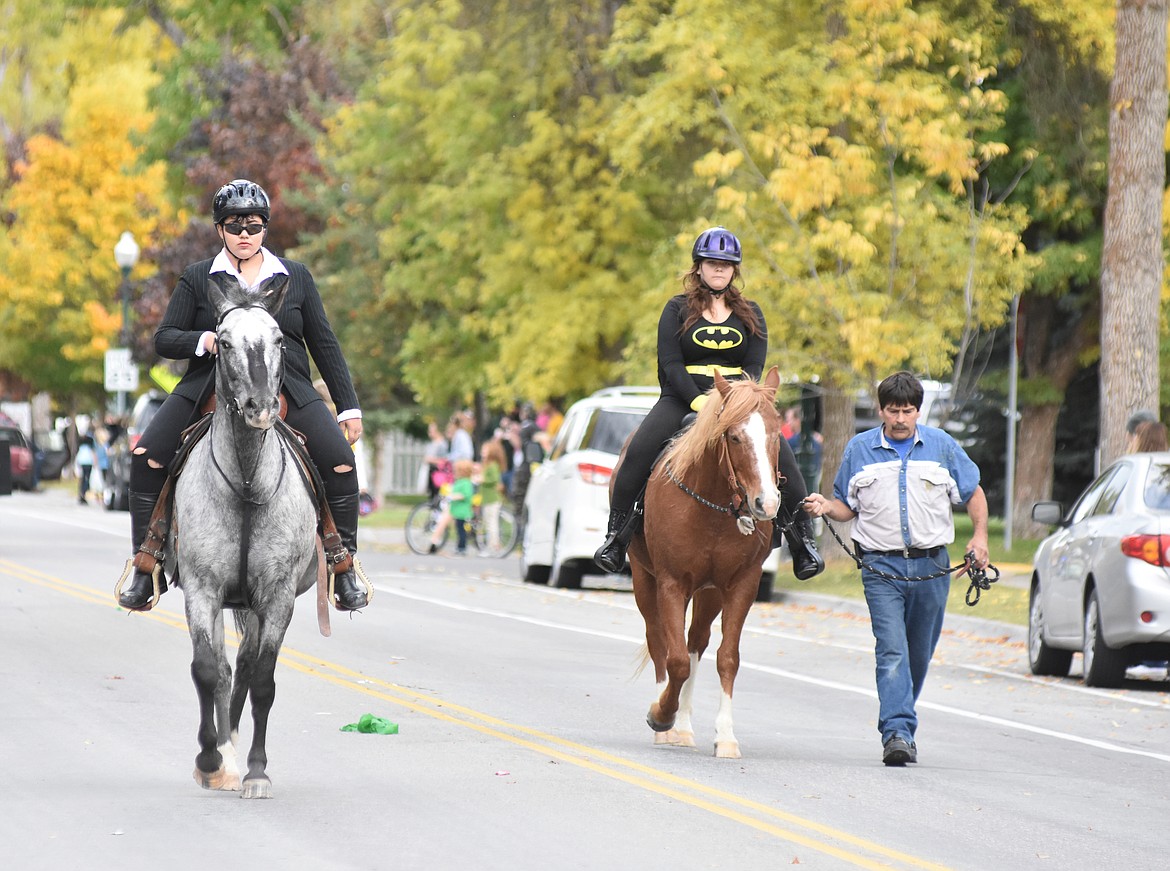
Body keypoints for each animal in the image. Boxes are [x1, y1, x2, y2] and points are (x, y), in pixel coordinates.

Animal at [164, 275, 318, 800]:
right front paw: (211, 761)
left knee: (248, 669)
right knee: (227, 670)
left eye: (280, 340)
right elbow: (207, 670)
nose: (259, 408)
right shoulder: (202, 588)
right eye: (224, 342)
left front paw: (255, 771)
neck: (248, 482)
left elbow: (264, 680)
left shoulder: (277, 595)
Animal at [627, 365, 781, 753]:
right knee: (660, 641)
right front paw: (660, 715)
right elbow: (676, 659)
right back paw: (667, 725)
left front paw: (725, 736)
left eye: (776, 436)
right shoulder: (671, 583)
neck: (713, 506)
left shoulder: (742, 585)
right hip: (643, 578)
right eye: (735, 437)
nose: (766, 503)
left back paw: (683, 725)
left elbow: (726, 658)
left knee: (696, 642)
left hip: (709, 592)